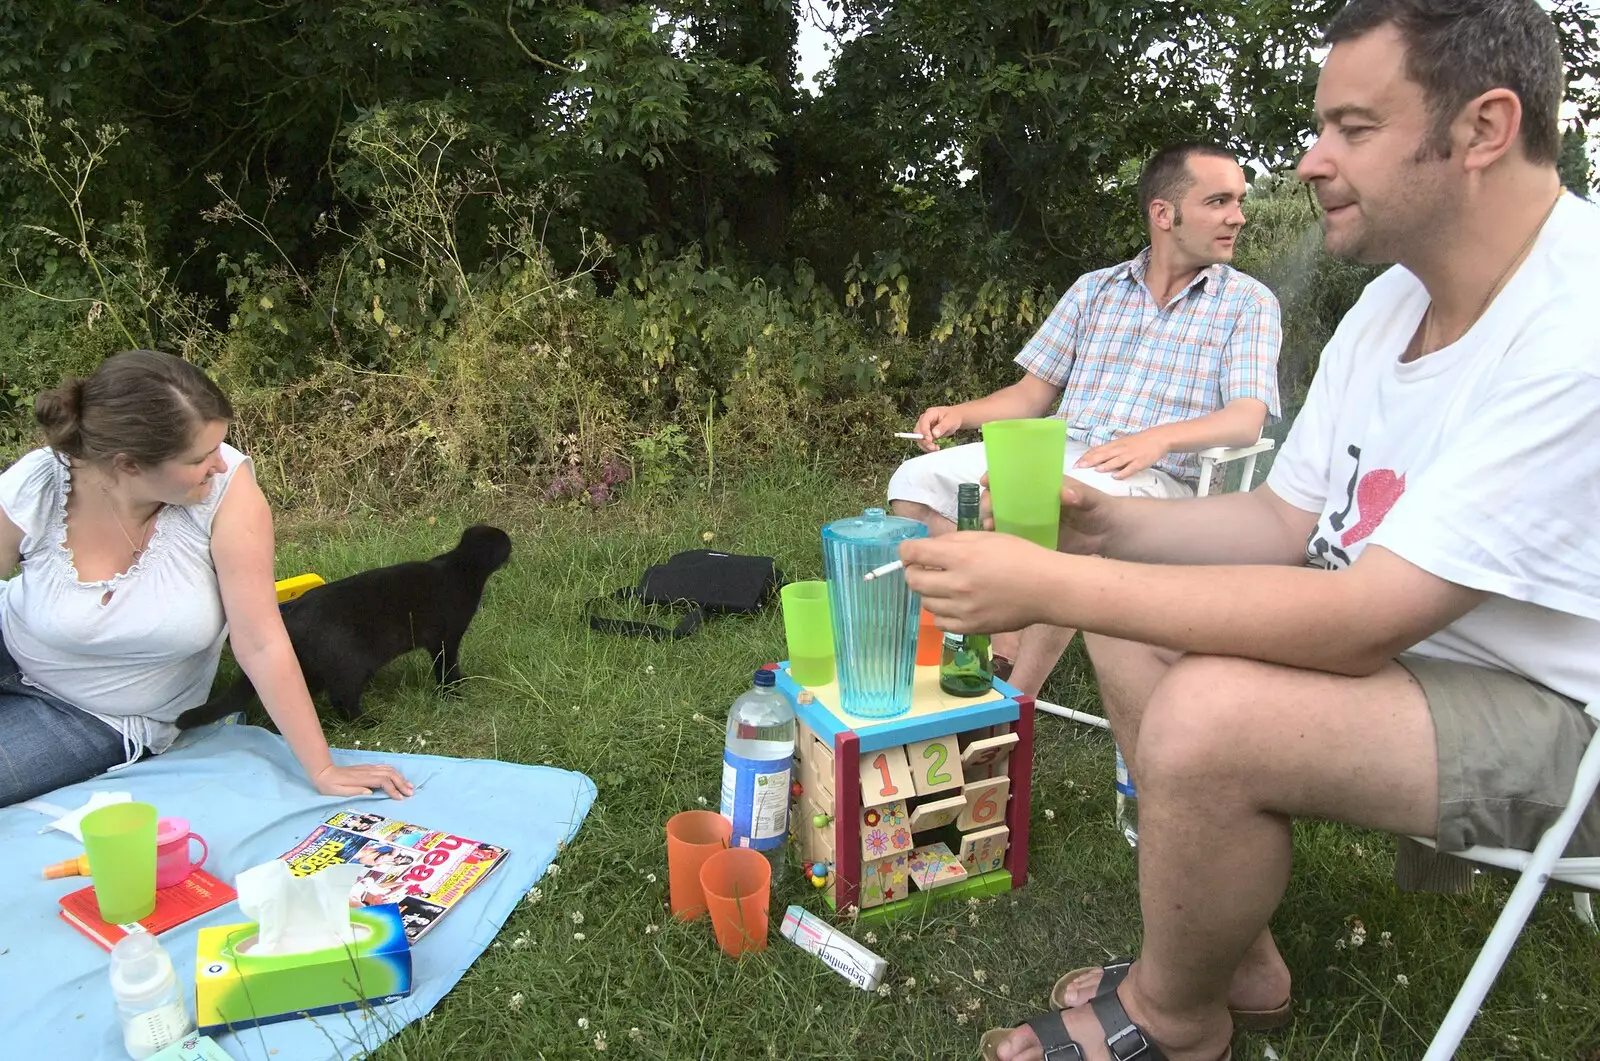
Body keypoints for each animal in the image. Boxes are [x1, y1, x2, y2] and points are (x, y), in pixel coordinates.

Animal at [178, 524, 512, 729]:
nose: (513, 543)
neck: (458, 568)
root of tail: (290, 619)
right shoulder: (446, 638)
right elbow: (447, 667)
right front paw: (454, 690)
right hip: (352, 664)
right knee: (342, 698)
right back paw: (367, 723)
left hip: (312, 669)